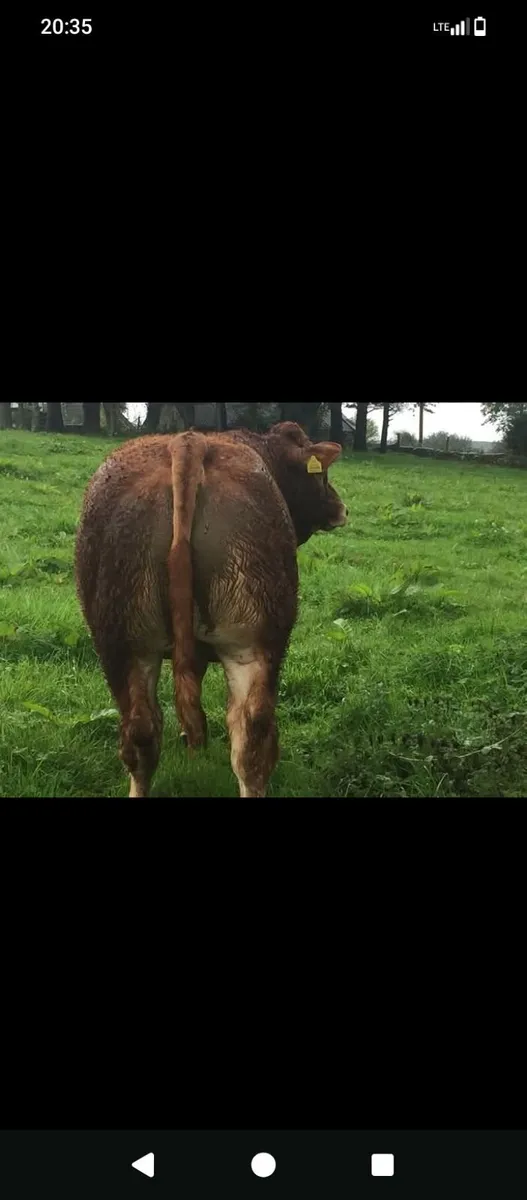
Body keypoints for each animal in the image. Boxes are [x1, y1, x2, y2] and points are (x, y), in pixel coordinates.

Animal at [75, 421, 348, 798]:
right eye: (321, 476)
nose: (341, 508)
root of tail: (188, 442)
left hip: (130, 646)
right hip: (241, 642)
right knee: (248, 737)